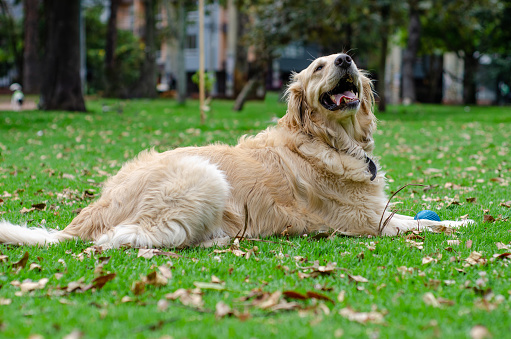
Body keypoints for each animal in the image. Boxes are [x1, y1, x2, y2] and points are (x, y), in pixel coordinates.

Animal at [0, 54, 472, 248]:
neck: (330, 140)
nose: (346, 60)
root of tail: (86, 217)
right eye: (319, 67)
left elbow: (423, 217)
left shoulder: (379, 212)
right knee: (120, 239)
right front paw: (454, 226)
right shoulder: (366, 222)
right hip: (204, 177)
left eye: (346, 61)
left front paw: (461, 219)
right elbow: (417, 224)